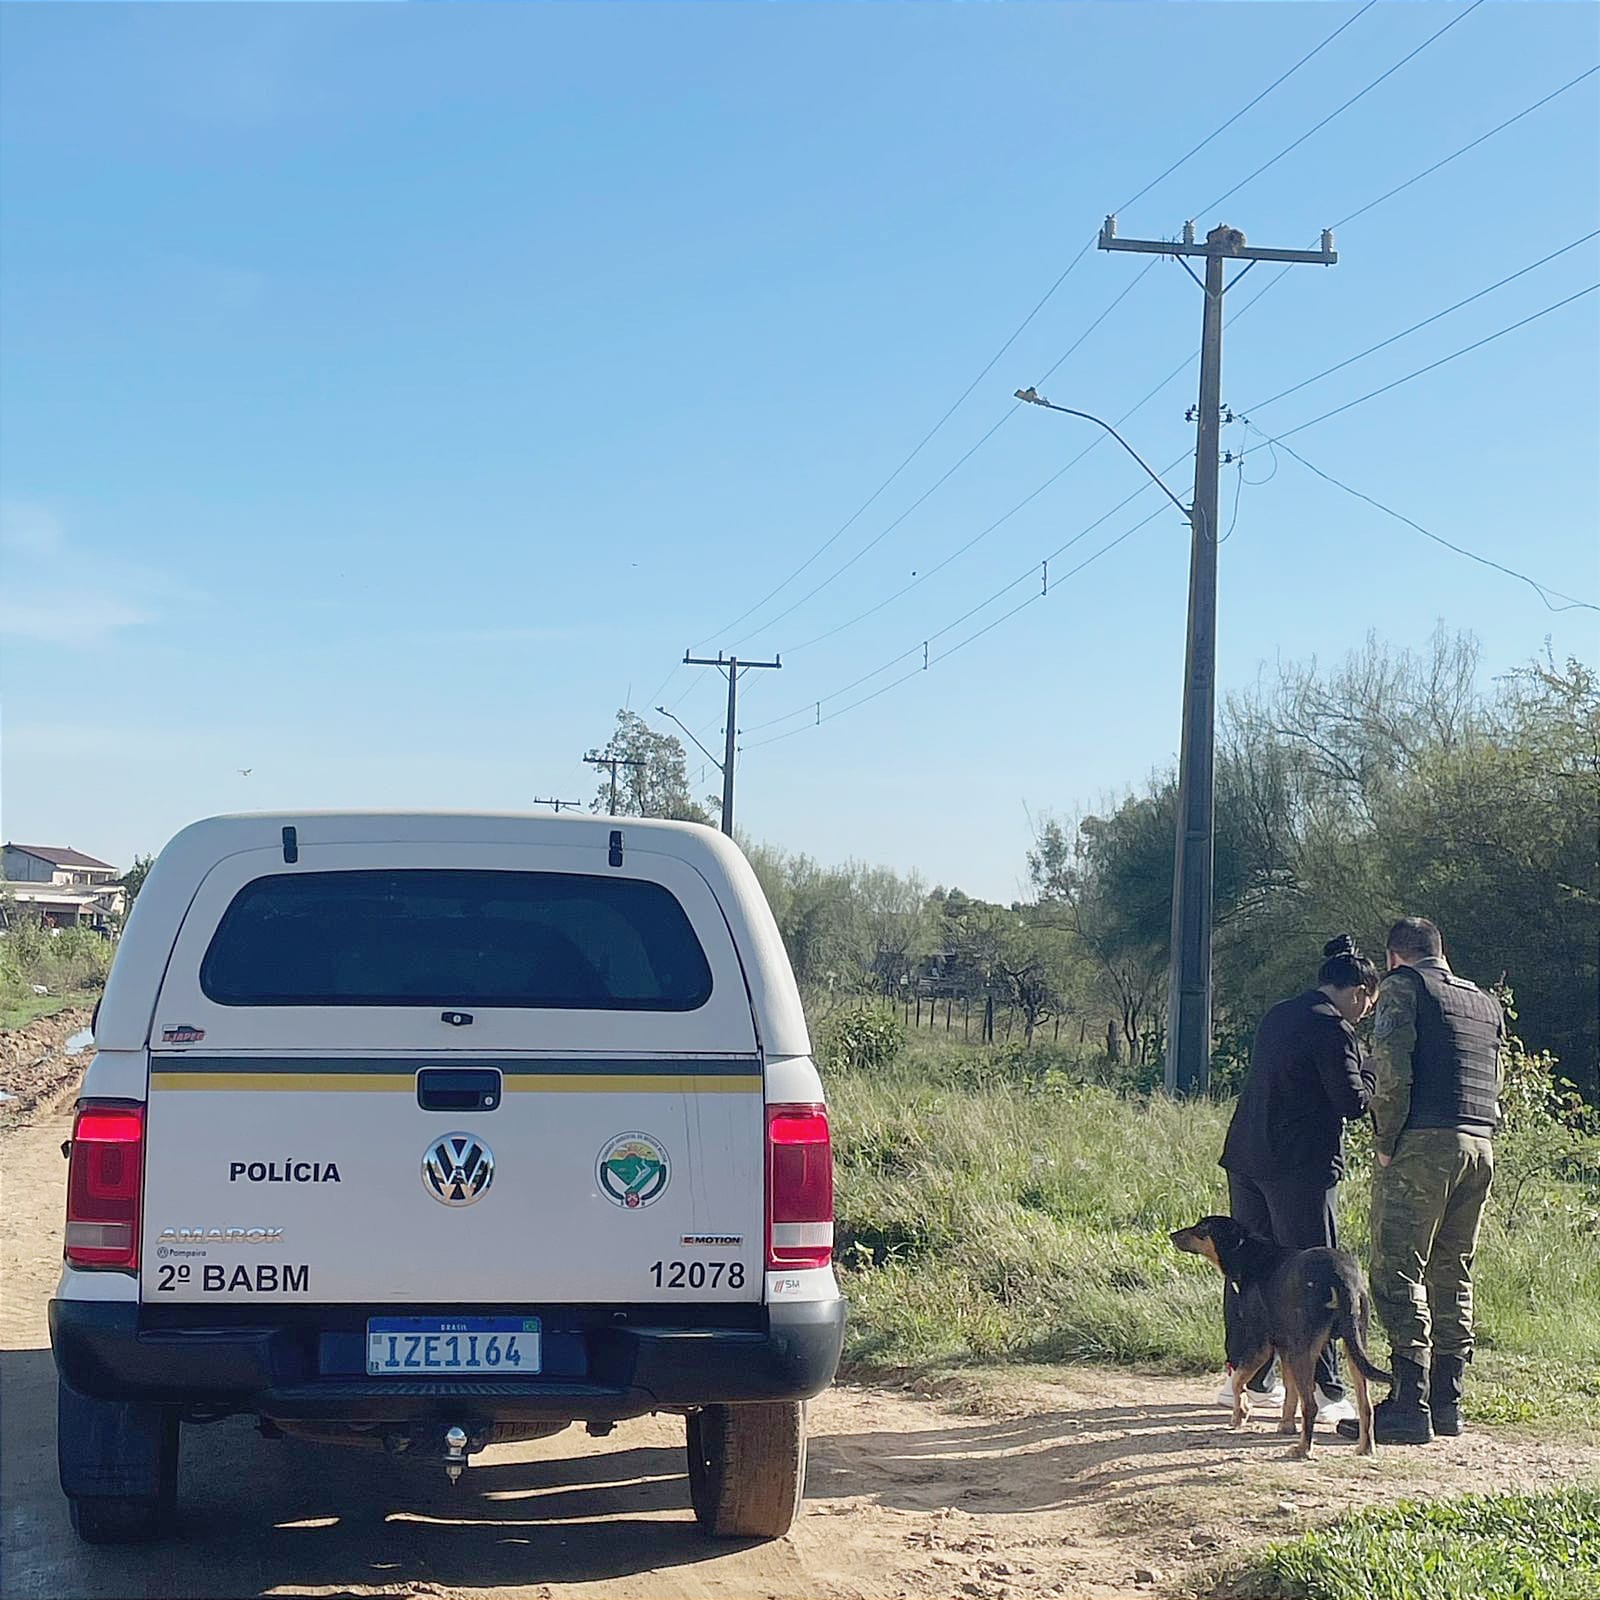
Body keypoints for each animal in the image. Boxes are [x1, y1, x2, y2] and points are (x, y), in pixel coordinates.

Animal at [1177, 1216, 1388, 1459]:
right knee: (1366, 1406)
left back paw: (1302, 1449)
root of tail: (1341, 1275)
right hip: (1354, 1345)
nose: (1172, 1235)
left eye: (1203, 1228)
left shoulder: (1261, 1343)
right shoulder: (1285, 1346)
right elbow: (1290, 1391)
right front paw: (1286, 1425)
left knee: (1310, 1406)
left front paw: (1240, 1413)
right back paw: (1365, 1448)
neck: (1250, 1254)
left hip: (1304, 1351)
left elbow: (1239, 1379)